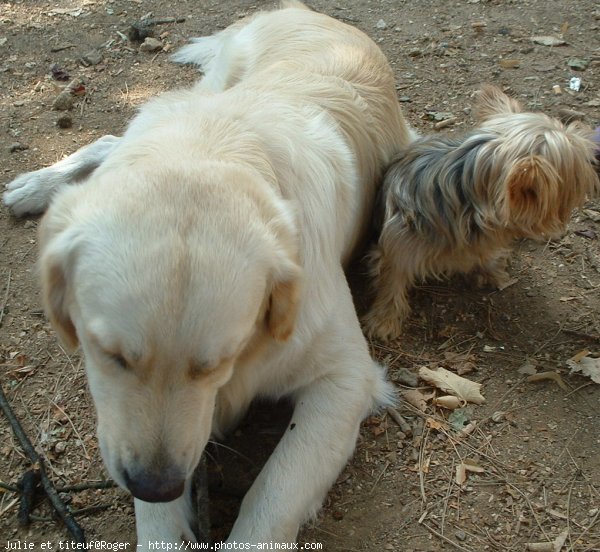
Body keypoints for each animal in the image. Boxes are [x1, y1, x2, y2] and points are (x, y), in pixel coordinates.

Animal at [2, 2, 410, 548]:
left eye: (218, 363)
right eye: (110, 356)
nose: (155, 486)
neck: (211, 146)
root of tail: (307, 12)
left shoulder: (346, 380)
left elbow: (271, 498)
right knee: (111, 137)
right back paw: (34, 185)